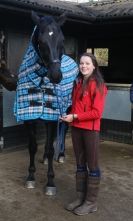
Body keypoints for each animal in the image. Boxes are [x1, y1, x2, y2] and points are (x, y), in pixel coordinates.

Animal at [14, 11, 78, 195]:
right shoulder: (30, 116)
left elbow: (50, 148)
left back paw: (61, 155)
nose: (56, 76)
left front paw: (50, 182)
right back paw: (44, 158)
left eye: (62, 40)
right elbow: (32, 146)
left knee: (64, 129)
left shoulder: (52, 115)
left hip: (68, 107)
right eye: (41, 41)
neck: (41, 78)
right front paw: (30, 177)